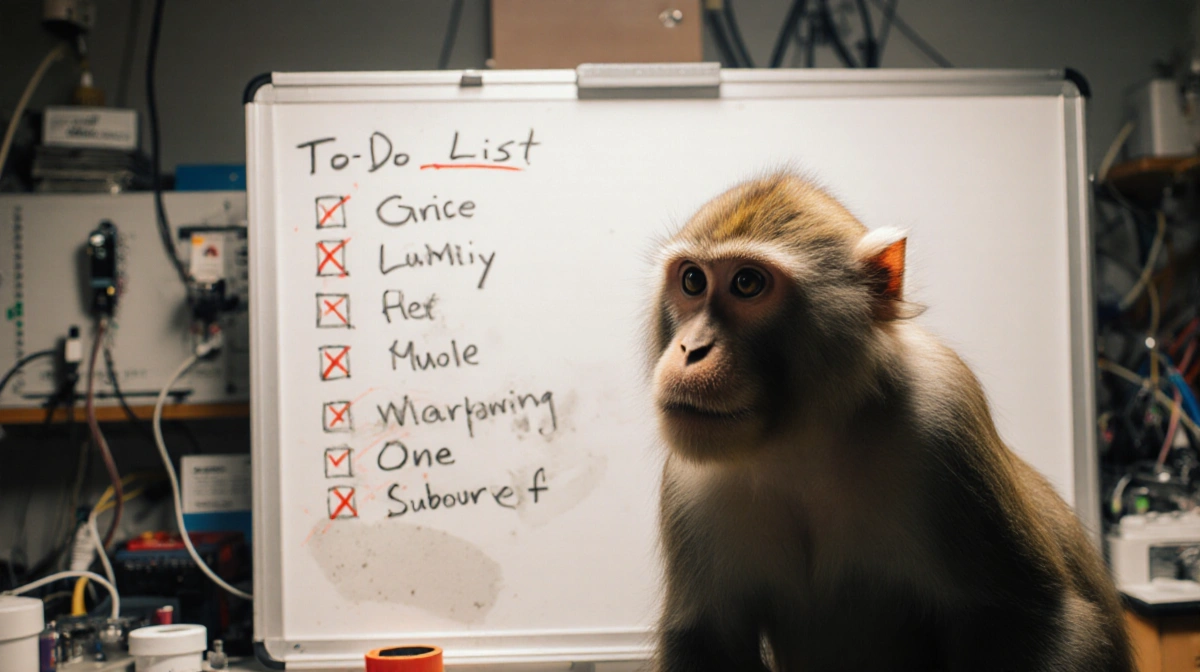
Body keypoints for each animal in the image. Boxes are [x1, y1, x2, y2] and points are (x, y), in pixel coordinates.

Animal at [649, 172, 1132, 672]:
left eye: (747, 283)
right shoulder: (689, 484)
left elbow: (1040, 620)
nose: (691, 350)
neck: (802, 439)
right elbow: (706, 639)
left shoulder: (945, 415)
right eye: (692, 280)